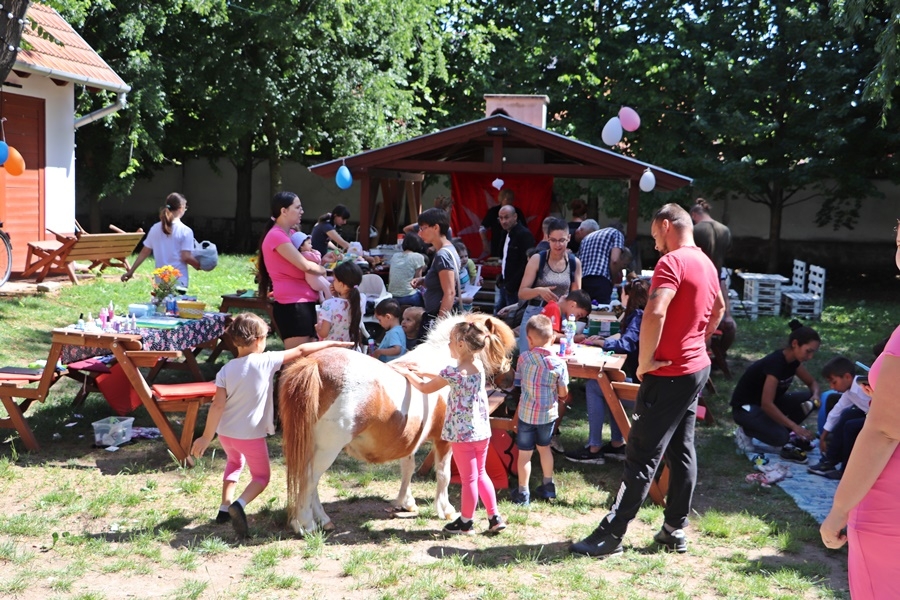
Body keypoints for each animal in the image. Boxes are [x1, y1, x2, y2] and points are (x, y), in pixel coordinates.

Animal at [282, 314, 520, 536]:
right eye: (497, 343)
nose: (509, 376)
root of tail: (314, 364)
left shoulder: (410, 438)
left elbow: (408, 468)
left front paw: (405, 503)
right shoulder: (443, 441)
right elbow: (443, 474)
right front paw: (446, 510)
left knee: (309, 482)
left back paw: (322, 520)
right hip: (327, 449)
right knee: (309, 479)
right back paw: (306, 524)